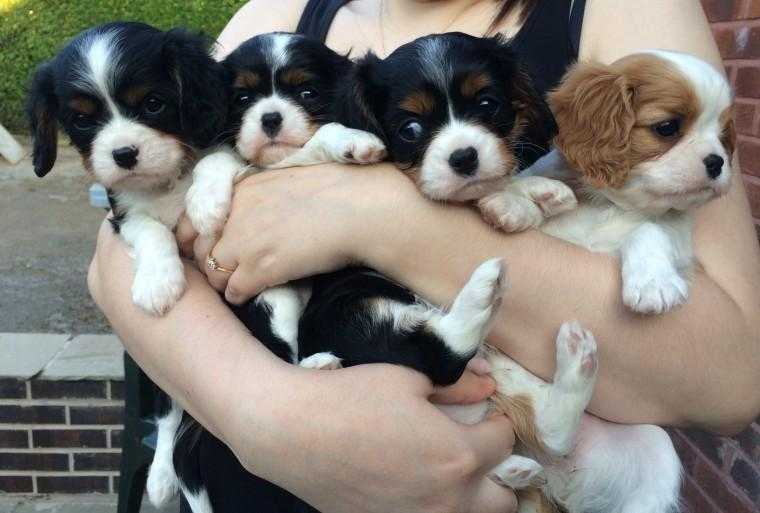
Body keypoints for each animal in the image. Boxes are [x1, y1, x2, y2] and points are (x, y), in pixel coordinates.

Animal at [27, 22, 229, 314]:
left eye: (153, 104)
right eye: (82, 120)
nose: (123, 155)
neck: (162, 181)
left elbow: (217, 157)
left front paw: (207, 204)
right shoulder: (123, 215)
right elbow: (150, 229)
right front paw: (157, 282)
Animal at [524, 49, 732, 312]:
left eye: (723, 137)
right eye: (667, 127)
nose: (717, 162)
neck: (616, 206)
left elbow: (649, 228)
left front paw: (654, 282)